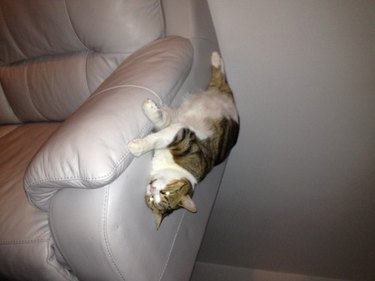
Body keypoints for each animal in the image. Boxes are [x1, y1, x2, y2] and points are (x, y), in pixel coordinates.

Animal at [129, 52, 239, 228]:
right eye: (152, 199)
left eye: (163, 195)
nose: (151, 189)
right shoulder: (174, 126)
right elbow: (161, 120)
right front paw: (151, 109)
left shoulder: (183, 137)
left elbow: (157, 138)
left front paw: (137, 147)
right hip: (218, 91)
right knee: (221, 79)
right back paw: (216, 57)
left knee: (221, 80)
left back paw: (215, 58)